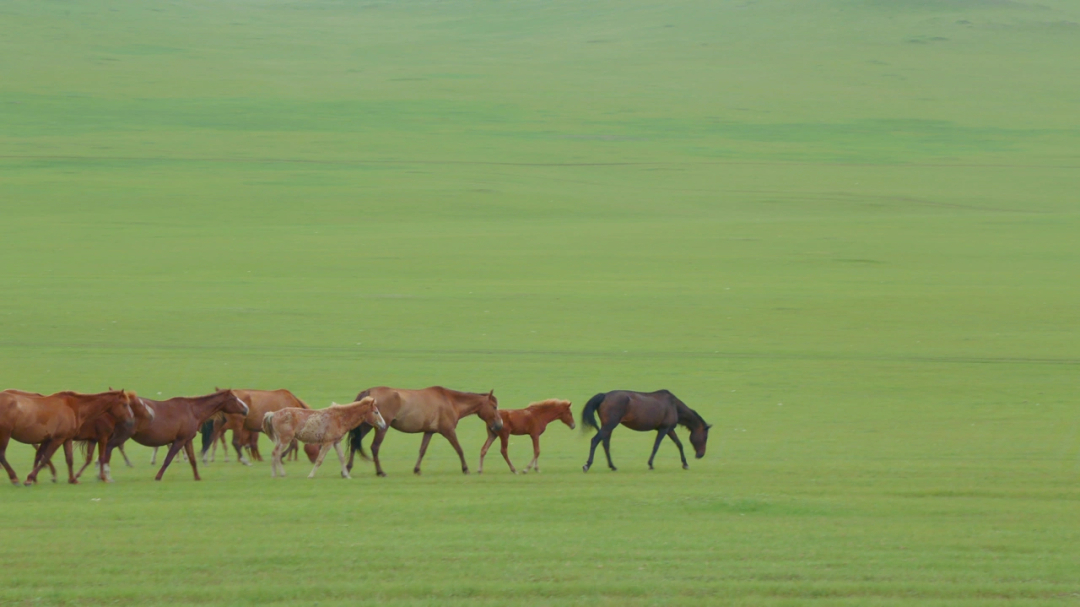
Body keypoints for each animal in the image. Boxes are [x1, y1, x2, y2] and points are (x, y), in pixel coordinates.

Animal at [0, 388, 139, 483]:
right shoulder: (59, 439)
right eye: (125, 404)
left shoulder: (67, 438)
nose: (131, 421)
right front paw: (30, 478)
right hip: (5, 434)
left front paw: (73, 479)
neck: (74, 407)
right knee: (3, 455)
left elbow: (70, 459)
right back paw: (14, 477)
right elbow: (46, 457)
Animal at [111, 386, 250, 481]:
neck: (192, 411)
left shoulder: (187, 440)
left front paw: (197, 477)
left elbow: (193, 459)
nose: (246, 409)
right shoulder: (179, 440)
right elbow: (168, 459)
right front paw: (158, 477)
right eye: (233, 398)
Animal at [345, 384, 505, 475]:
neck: (450, 401)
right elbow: (459, 449)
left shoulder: (429, 432)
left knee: (354, 443)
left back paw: (347, 468)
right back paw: (380, 471)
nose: (499, 425)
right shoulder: (448, 431)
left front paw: (417, 469)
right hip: (381, 428)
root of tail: (369, 392)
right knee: (374, 447)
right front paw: (465, 469)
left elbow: (422, 450)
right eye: (494, 407)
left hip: (366, 426)